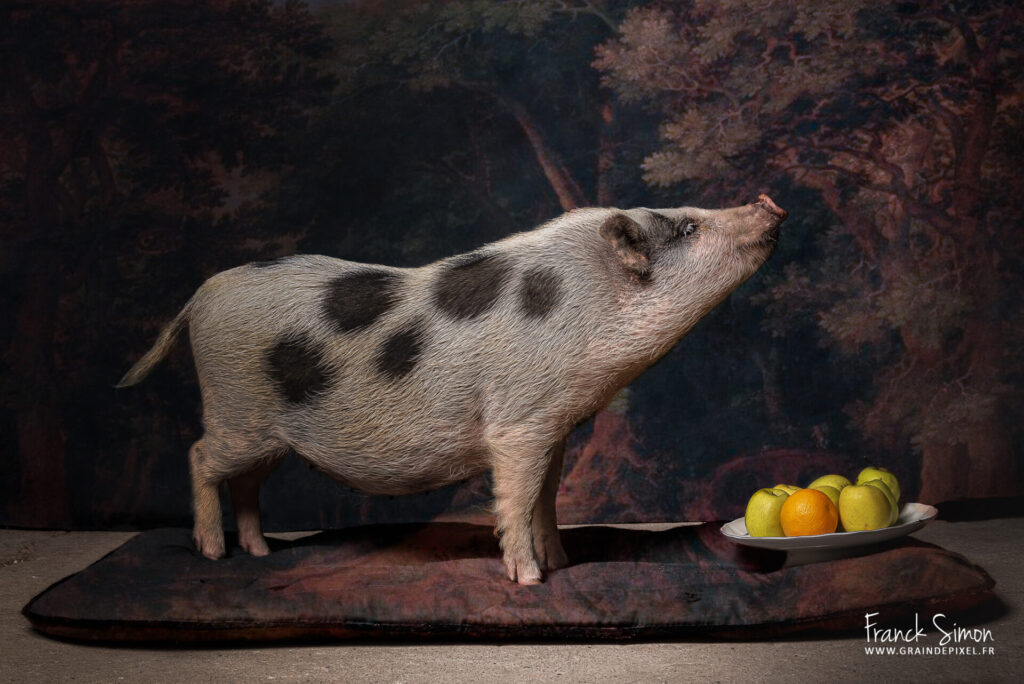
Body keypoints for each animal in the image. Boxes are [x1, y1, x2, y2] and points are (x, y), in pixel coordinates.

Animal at [118, 194, 786, 584]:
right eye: (690, 227)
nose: (769, 200)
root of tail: (199, 297)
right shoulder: (519, 423)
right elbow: (515, 499)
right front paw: (531, 580)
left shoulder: (553, 425)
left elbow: (546, 498)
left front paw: (563, 562)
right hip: (237, 410)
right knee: (199, 457)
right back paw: (213, 555)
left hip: (268, 434)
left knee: (246, 484)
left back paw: (260, 554)